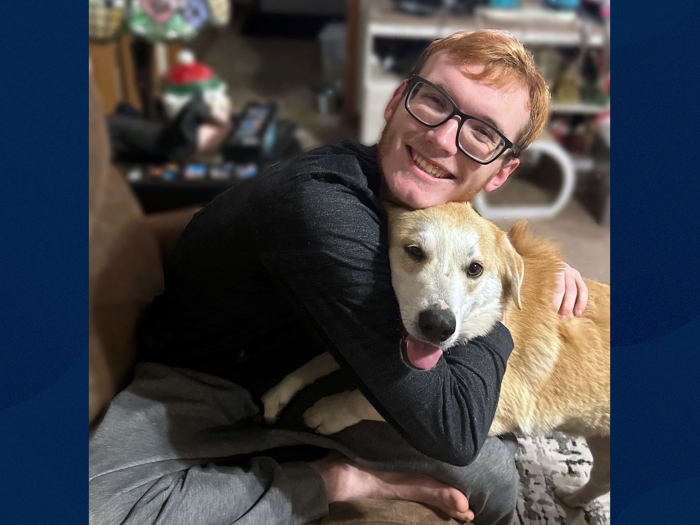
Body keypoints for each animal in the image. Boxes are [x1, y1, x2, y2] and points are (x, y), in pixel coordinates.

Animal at [260, 202, 608, 508]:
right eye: (414, 251)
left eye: (475, 269)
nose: (438, 325)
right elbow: (319, 361)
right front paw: (280, 392)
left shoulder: (493, 413)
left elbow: (369, 402)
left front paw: (329, 411)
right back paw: (573, 499)